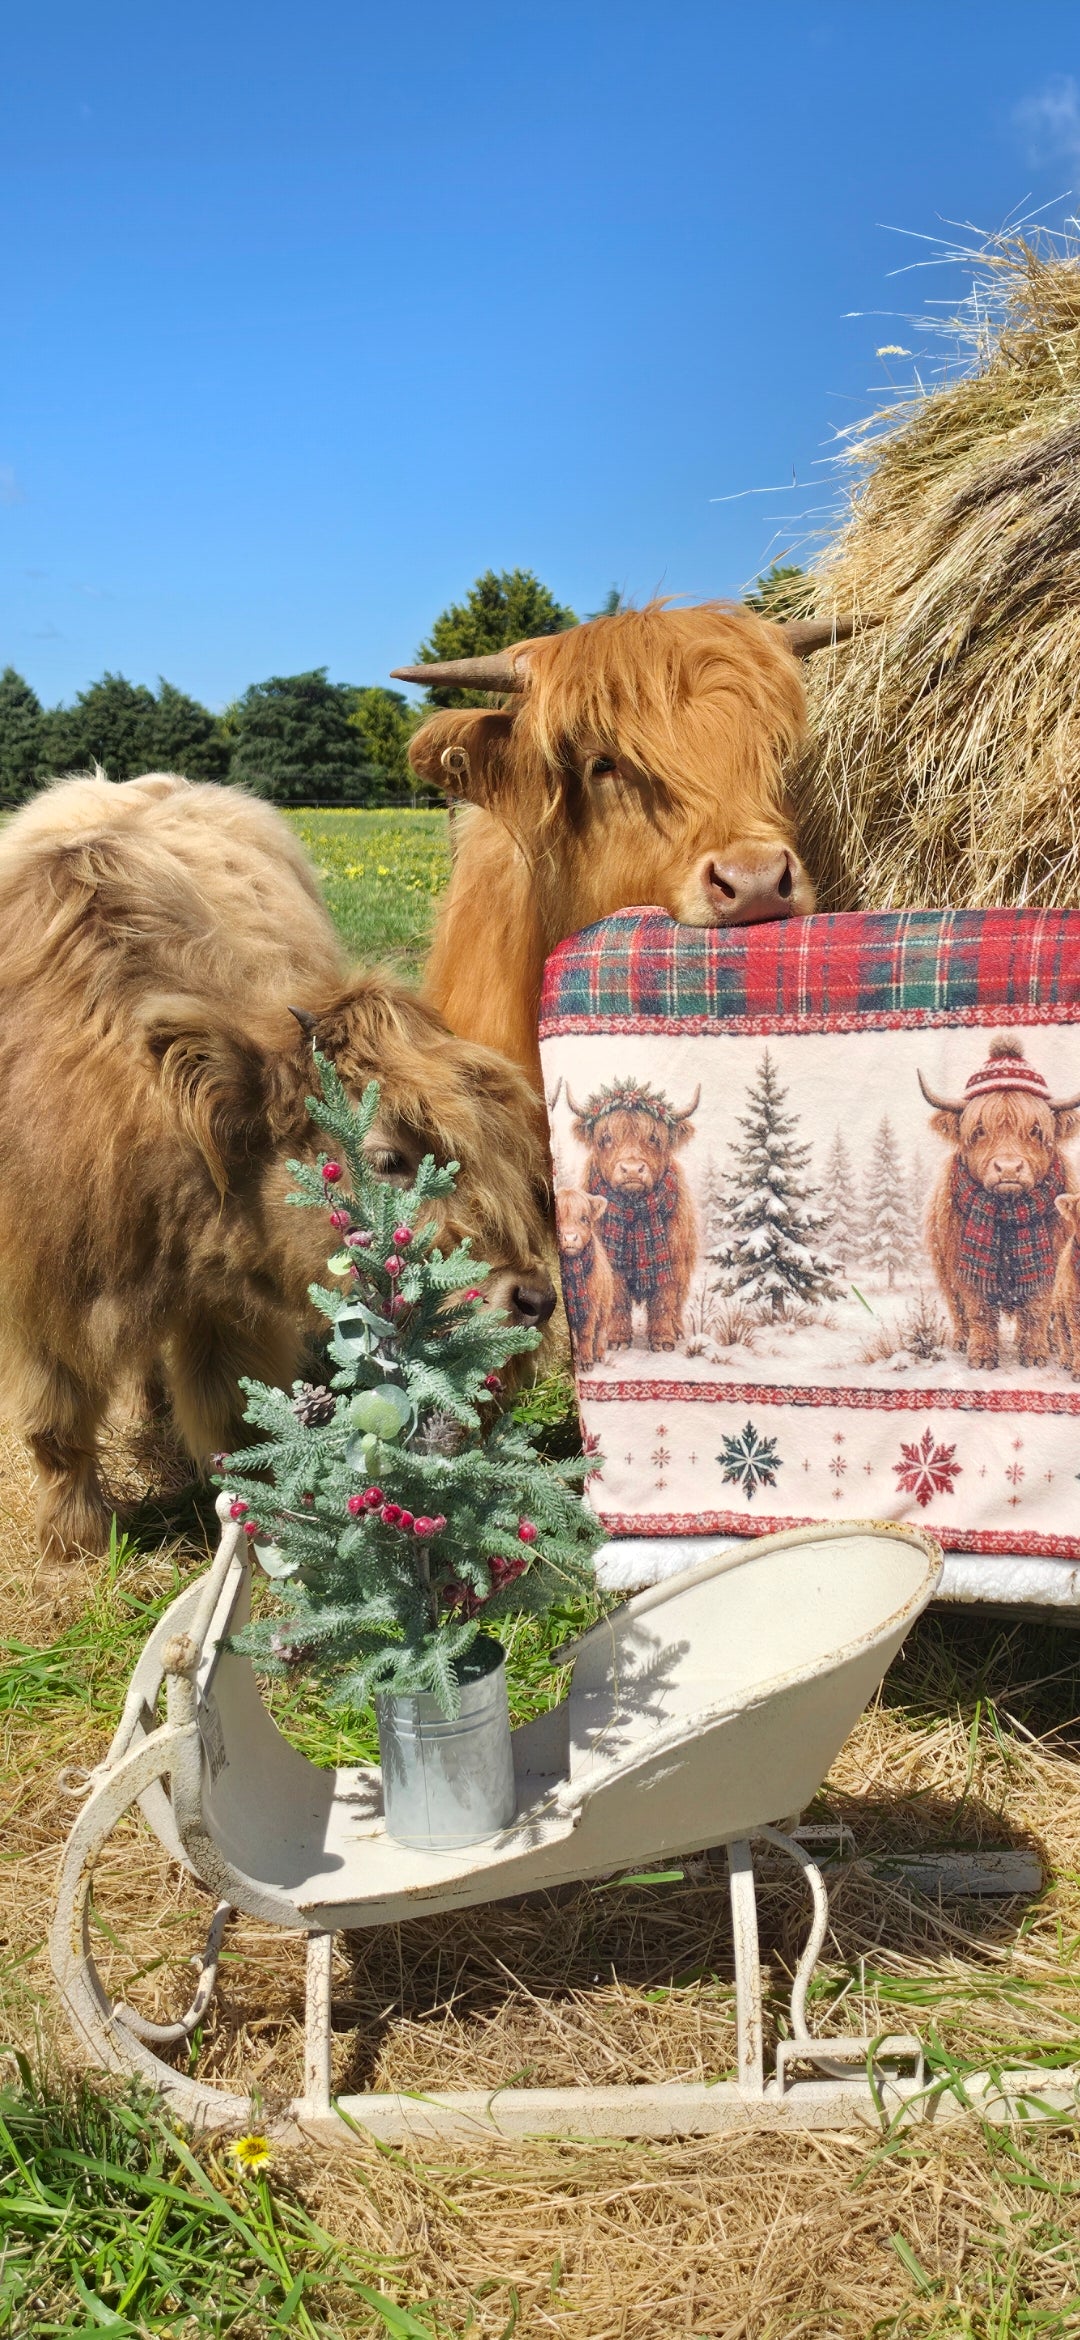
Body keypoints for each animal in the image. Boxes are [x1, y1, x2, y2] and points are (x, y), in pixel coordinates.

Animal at [0, 772, 556, 1564]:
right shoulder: (37, 1298)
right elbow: (56, 1427)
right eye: (388, 1158)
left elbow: (235, 1425)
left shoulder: (226, 1306)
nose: (536, 1298)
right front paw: (72, 1542)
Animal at [566, 1079, 700, 1352]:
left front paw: (663, 1340)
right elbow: (618, 1299)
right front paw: (617, 1340)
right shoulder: (611, 1264)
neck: (633, 1212)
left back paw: (678, 1330)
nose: (631, 1169)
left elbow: (663, 1300)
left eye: (654, 1138)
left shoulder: (672, 1259)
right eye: (605, 1137)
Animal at [919, 1034, 1080, 1371]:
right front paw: (981, 1357)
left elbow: (1036, 1309)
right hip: (943, 1269)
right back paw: (961, 1341)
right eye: (979, 1130)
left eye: (1036, 1130)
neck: (1008, 1214)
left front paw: (1035, 1354)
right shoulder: (962, 1266)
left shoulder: (1052, 1265)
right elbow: (979, 1310)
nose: (1008, 1169)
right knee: (957, 1310)